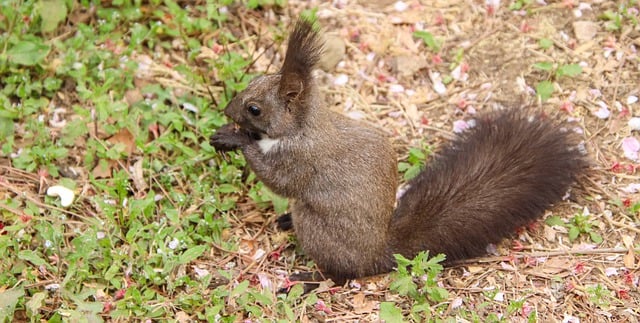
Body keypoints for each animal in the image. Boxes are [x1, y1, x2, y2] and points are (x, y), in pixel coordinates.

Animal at [210, 19, 584, 284]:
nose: (228, 110)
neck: (305, 126)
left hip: (318, 229)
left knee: (342, 275)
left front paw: (235, 139)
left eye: (255, 109)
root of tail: (378, 253)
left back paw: (310, 277)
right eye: (253, 80)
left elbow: (278, 180)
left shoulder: (301, 160)